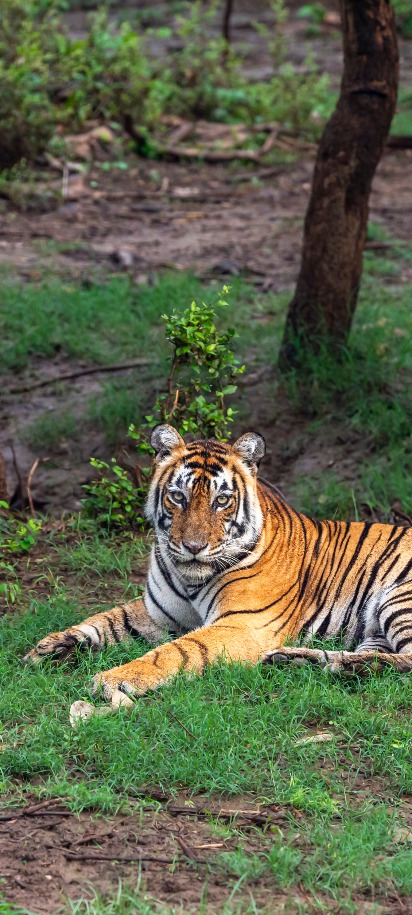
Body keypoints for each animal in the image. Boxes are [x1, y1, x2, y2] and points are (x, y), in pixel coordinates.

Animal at [24, 423, 412, 708]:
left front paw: (114, 678)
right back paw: (299, 660)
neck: (191, 579)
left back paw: (332, 664)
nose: (194, 547)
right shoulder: (156, 612)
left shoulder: (242, 625)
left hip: (398, 598)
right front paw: (48, 647)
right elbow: (106, 619)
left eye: (222, 500)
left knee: (406, 663)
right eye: (177, 496)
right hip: (374, 630)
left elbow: (177, 651)